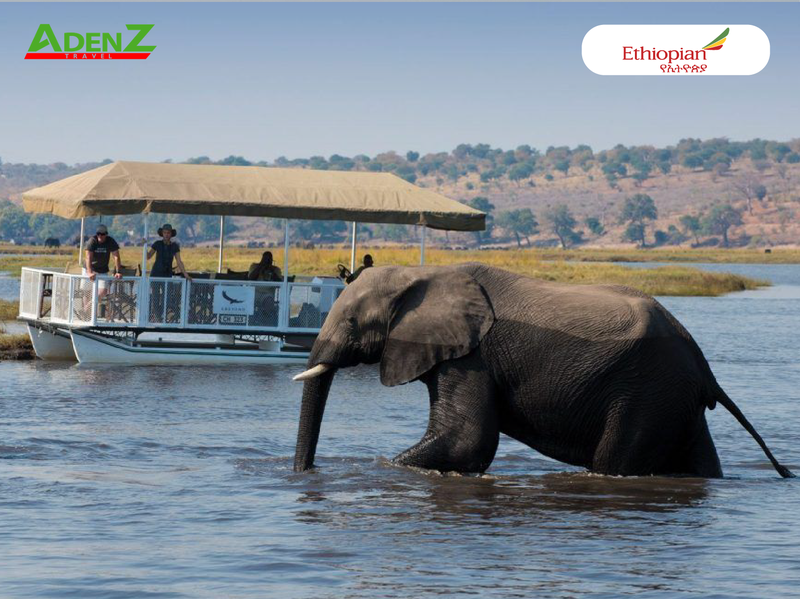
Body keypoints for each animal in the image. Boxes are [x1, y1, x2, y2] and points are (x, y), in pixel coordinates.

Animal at [293, 263, 794, 479]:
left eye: (351, 322)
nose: (304, 472)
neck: (422, 274)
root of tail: (703, 366)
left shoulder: (472, 354)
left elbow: (467, 439)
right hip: (674, 399)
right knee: (700, 462)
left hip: (646, 393)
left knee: (615, 462)